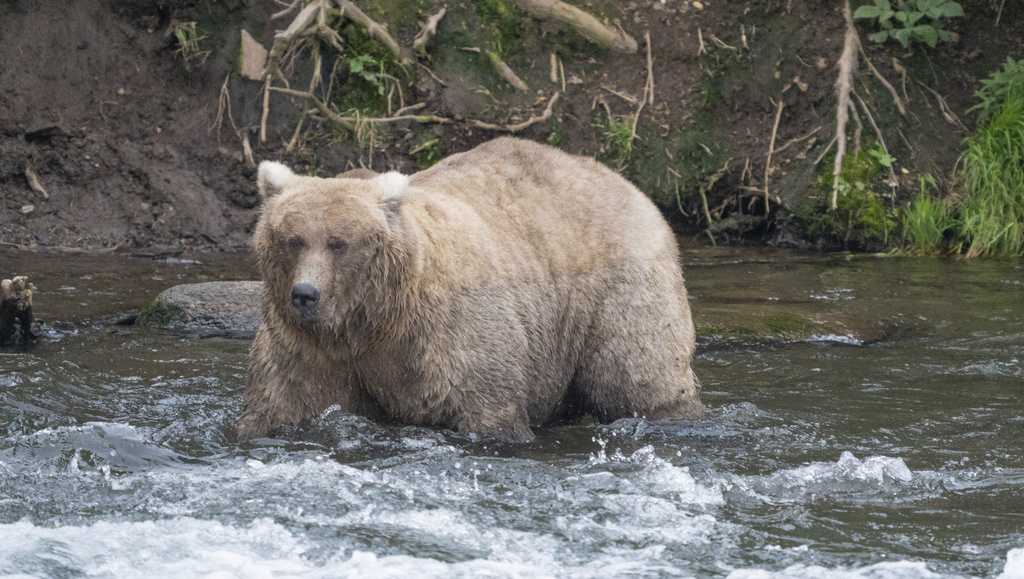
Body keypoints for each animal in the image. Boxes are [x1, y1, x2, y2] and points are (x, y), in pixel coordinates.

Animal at [237, 137, 704, 440]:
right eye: (292, 239)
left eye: (339, 242)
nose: (305, 294)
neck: (373, 319)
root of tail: (626, 183)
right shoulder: (310, 348)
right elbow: (285, 402)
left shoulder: (450, 334)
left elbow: (486, 406)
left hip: (618, 289)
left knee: (638, 374)